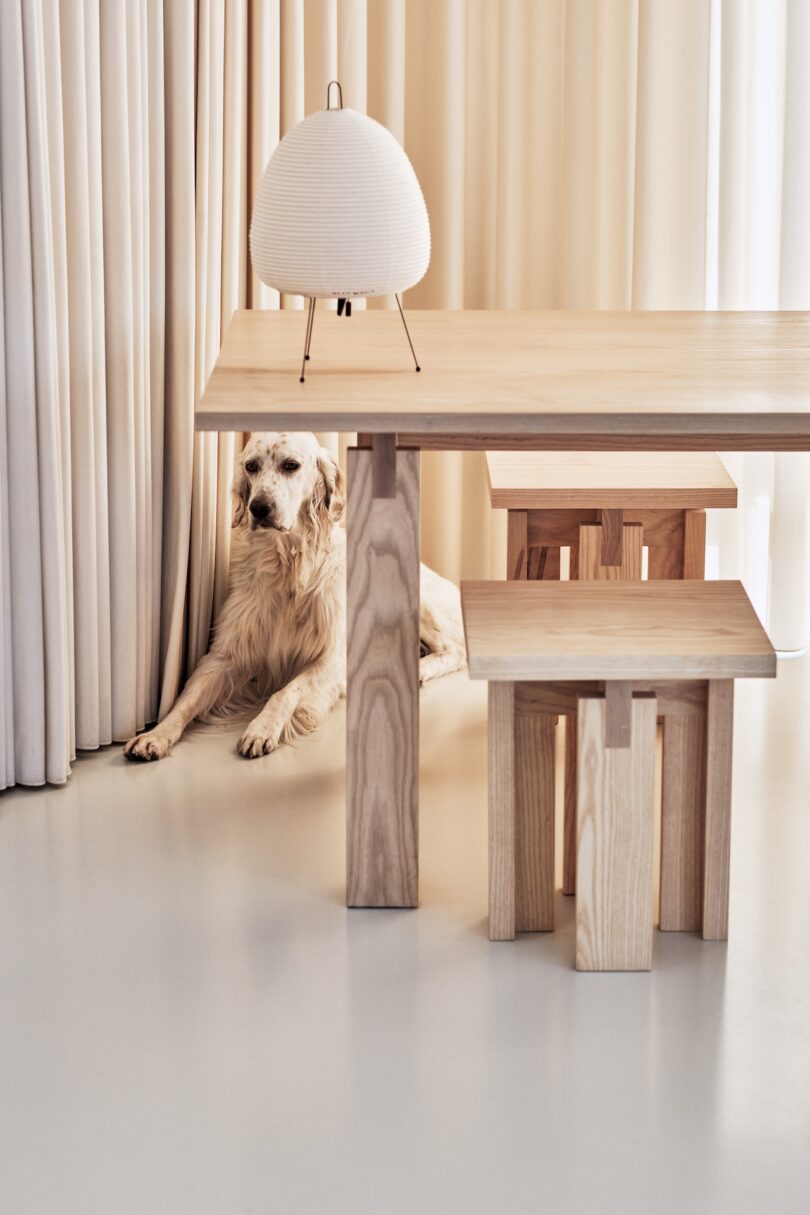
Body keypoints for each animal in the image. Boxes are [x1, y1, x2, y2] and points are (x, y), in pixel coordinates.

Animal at [123, 434, 466, 758]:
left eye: (291, 465)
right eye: (251, 466)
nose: (259, 508)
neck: (287, 564)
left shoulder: (333, 656)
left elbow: (287, 690)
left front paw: (261, 728)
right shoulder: (228, 653)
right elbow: (188, 697)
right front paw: (155, 735)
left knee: (455, 650)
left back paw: (420, 668)